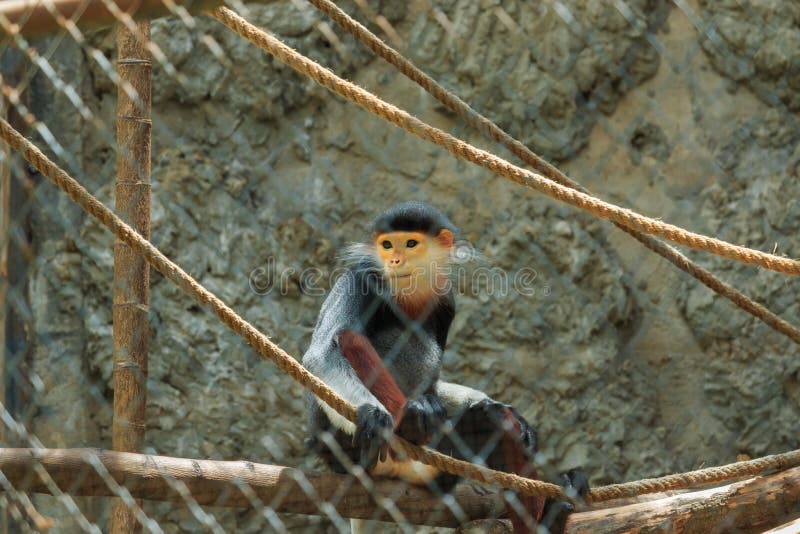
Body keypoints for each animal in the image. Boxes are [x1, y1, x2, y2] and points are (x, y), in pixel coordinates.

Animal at [302, 201, 587, 533]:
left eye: (411, 243)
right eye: (387, 245)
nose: (395, 260)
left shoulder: (445, 301)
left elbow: (440, 383)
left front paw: (502, 409)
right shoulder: (360, 280)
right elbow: (320, 356)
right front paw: (372, 413)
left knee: (495, 421)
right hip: (344, 451)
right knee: (350, 337)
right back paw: (410, 422)